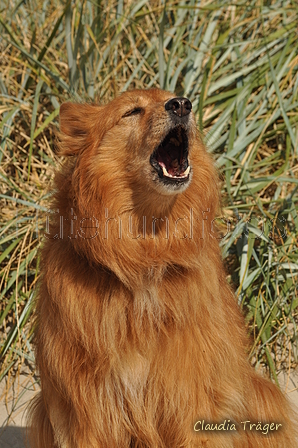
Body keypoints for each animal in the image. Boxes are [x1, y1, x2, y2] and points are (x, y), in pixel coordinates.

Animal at [27, 86, 296, 444]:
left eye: (177, 97)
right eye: (131, 112)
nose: (182, 105)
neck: (145, 256)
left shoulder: (191, 400)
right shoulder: (89, 411)